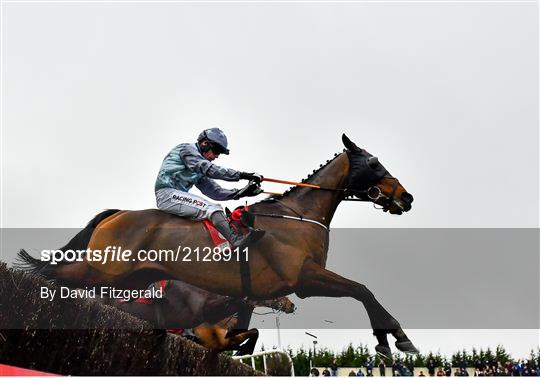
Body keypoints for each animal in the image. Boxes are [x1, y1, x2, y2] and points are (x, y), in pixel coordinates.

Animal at [19, 134, 418, 358]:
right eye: (375, 163)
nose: (406, 196)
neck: (298, 215)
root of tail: (114, 214)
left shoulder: (260, 294)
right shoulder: (304, 277)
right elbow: (362, 290)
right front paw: (395, 340)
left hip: (128, 278)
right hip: (103, 269)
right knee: (55, 276)